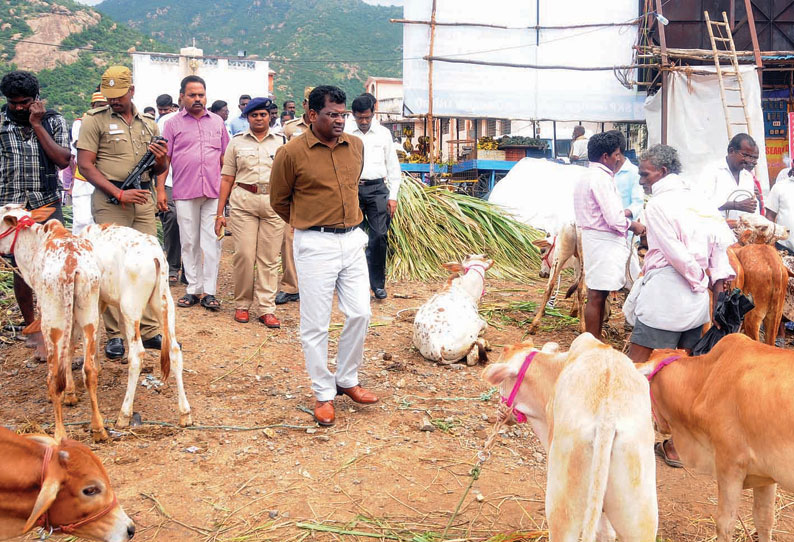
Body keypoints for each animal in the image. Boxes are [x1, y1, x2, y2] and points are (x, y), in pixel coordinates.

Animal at [0, 206, 106, 444]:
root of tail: (72, 266)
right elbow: (70, 352)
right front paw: (71, 394)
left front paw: (66, 394)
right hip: (88, 314)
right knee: (89, 370)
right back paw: (98, 428)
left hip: (52, 321)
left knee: (53, 376)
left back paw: (60, 434)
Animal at [80, 223, 192, 432]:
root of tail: (155, 255)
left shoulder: (94, 299)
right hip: (163, 303)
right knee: (174, 349)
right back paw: (185, 414)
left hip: (130, 306)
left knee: (138, 354)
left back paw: (124, 414)